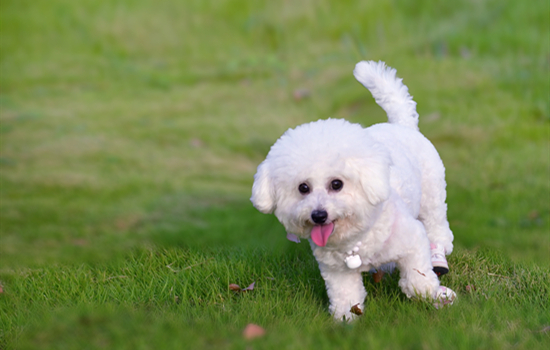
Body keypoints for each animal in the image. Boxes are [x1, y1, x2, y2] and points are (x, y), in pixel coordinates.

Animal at [252, 60, 460, 320]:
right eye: (303, 188)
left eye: (336, 184)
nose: (318, 215)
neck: (354, 241)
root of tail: (401, 125)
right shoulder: (336, 271)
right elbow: (346, 296)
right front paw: (346, 319)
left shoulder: (413, 241)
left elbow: (417, 277)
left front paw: (432, 294)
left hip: (432, 197)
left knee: (437, 226)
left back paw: (439, 250)